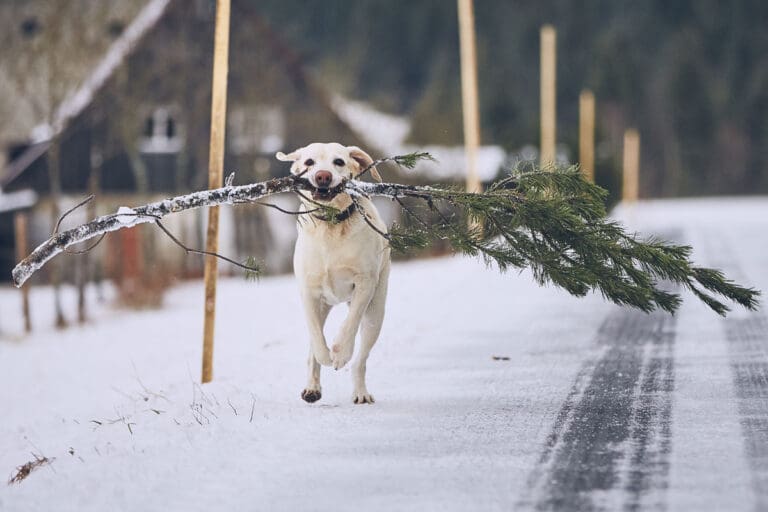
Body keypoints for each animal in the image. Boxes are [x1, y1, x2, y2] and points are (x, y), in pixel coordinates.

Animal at [276, 141, 390, 404]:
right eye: (309, 162)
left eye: (339, 161)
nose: (323, 176)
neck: (331, 225)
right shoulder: (308, 292)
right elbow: (316, 337)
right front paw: (326, 356)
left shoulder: (365, 284)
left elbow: (350, 324)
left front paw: (339, 353)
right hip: (323, 305)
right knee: (313, 345)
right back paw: (312, 388)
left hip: (375, 314)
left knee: (361, 359)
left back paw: (360, 392)